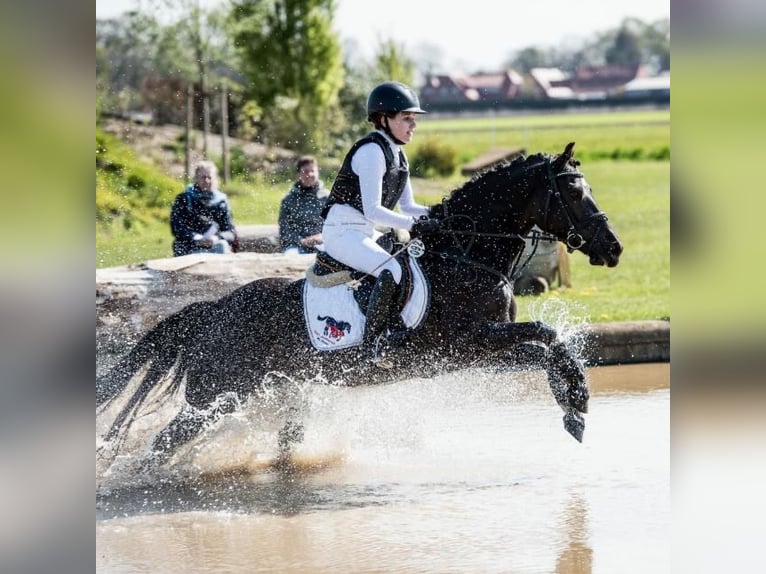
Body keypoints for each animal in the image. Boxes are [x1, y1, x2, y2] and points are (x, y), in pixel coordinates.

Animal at [97, 142, 624, 470]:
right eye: (574, 191)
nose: (613, 248)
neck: (466, 256)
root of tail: (213, 310)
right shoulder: (470, 342)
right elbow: (546, 336)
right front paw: (577, 403)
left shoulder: (475, 351)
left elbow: (543, 345)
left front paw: (574, 404)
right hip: (215, 398)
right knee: (163, 443)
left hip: (277, 390)